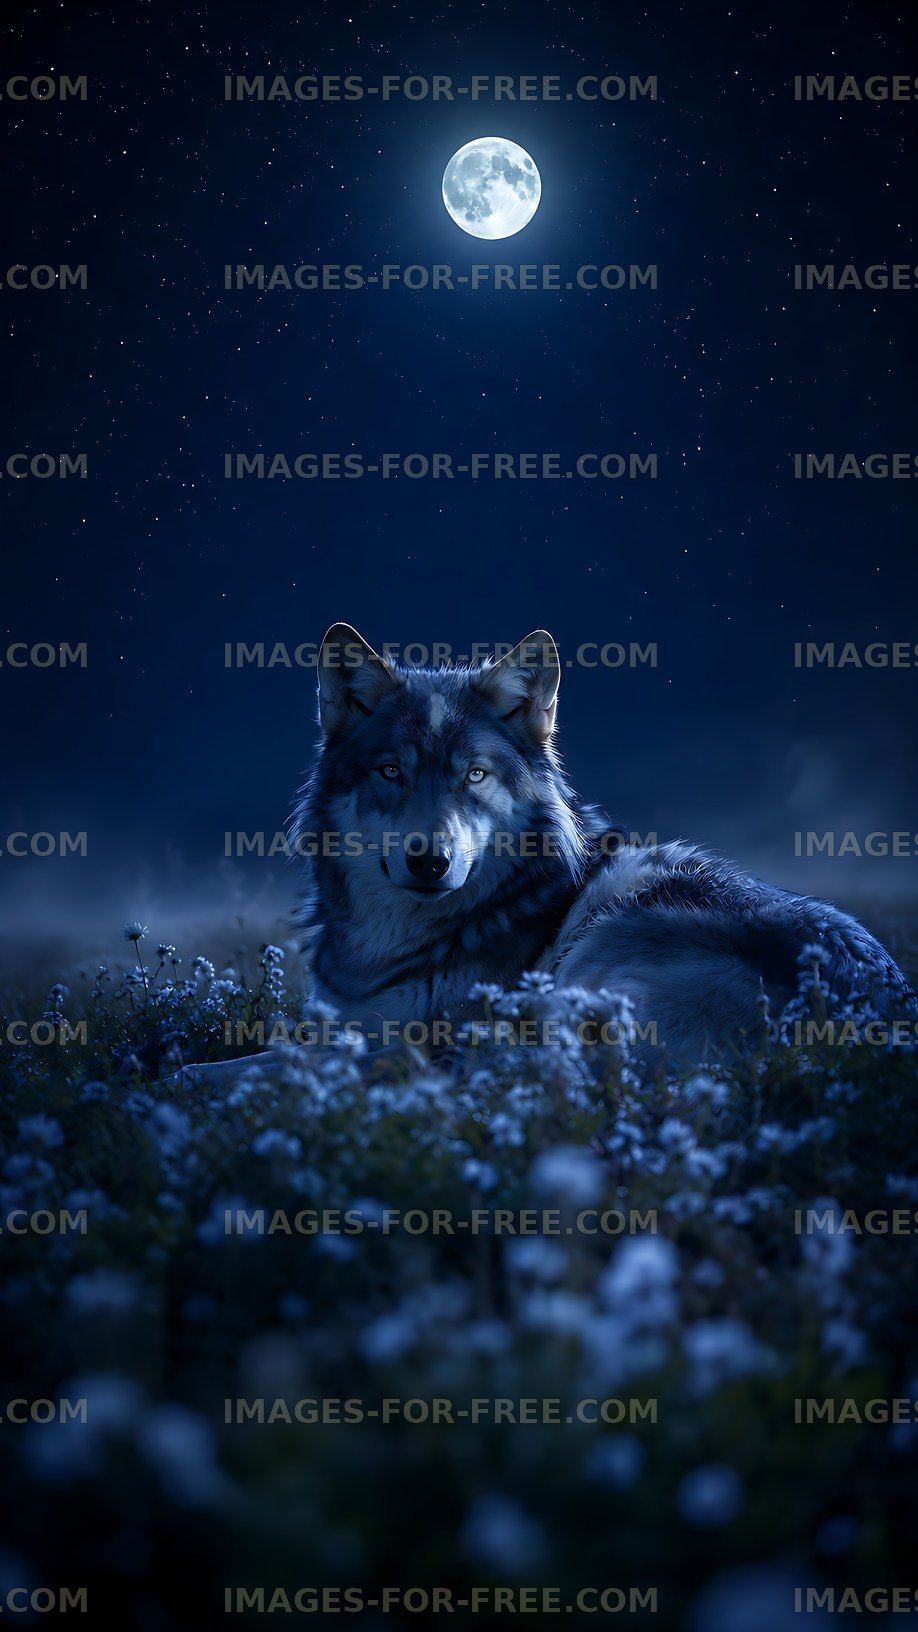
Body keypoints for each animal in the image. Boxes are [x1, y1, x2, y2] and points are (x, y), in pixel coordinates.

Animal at [179, 623, 914, 1081]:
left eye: (474, 776)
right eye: (392, 771)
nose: (429, 860)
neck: (392, 946)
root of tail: (876, 1023)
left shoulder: (412, 1038)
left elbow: (246, 1066)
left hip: (597, 952)